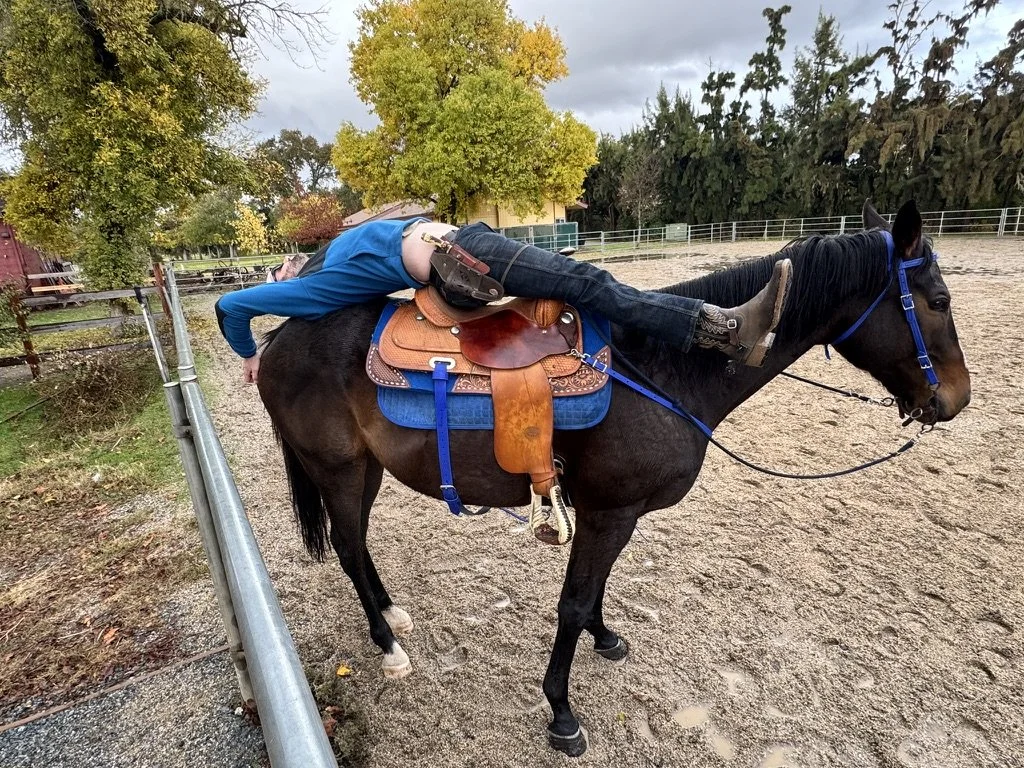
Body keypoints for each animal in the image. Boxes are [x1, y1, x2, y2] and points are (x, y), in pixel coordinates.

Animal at [256, 200, 970, 756]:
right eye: (938, 301)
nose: (956, 400)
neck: (667, 368)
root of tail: (275, 342)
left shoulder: (611, 513)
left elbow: (596, 591)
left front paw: (604, 638)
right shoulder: (608, 511)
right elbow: (572, 602)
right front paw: (561, 713)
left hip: (368, 470)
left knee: (359, 547)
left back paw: (392, 614)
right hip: (340, 469)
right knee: (349, 547)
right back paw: (387, 646)